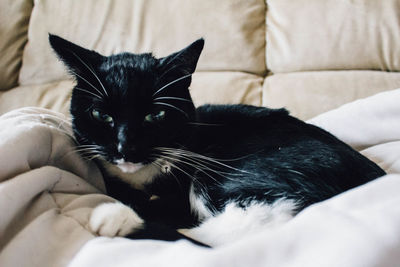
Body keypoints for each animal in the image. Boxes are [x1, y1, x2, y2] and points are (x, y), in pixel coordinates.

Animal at [49, 34, 384, 248]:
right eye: (100, 114)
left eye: (156, 114)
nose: (125, 148)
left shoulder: (181, 194)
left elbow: (167, 211)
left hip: (229, 173)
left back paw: (116, 218)